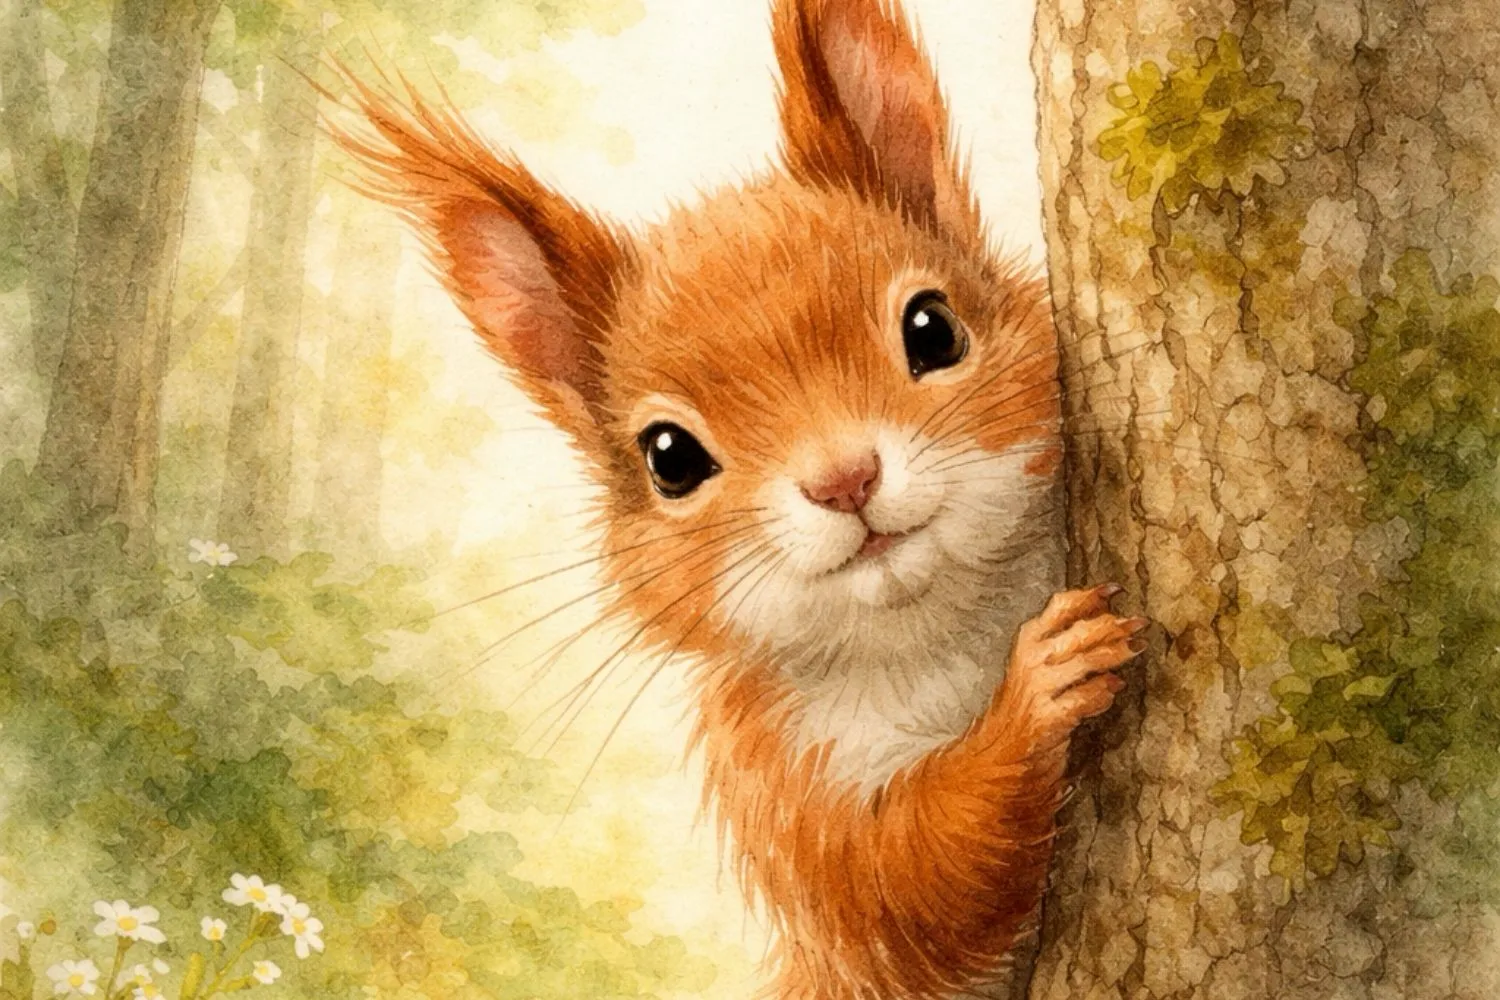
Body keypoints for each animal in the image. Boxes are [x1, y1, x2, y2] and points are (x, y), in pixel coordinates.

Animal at [338, 0, 1148, 996]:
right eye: (669, 458)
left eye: (934, 328)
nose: (845, 479)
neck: (933, 633)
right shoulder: (780, 782)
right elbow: (904, 887)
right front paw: (1040, 684)